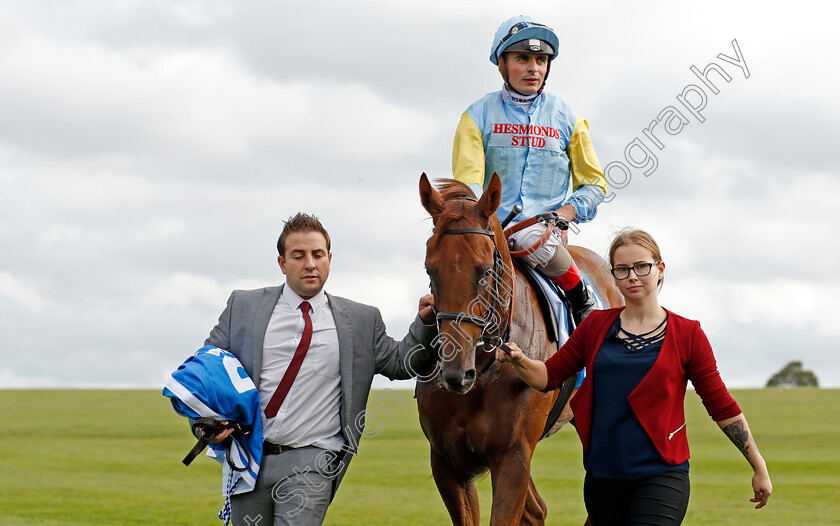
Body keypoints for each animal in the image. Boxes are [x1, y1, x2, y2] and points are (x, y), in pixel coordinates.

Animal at [416, 175, 620, 524]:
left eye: (485, 270)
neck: (485, 369)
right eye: (431, 270)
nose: (456, 372)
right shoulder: (447, 462)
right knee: (537, 510)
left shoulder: (513, 456)